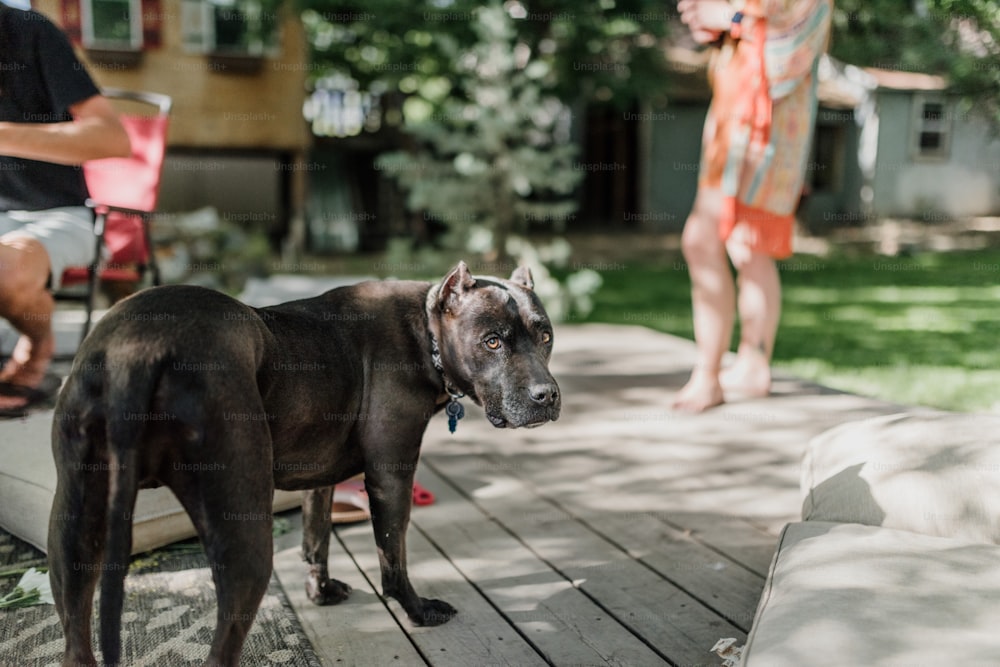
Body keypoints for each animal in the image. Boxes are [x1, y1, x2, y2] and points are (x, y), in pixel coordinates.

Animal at [48, 264, 564, 664]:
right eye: (492, 342)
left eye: (545, 335)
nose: (548, 396)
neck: (426, 331)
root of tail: (141, 347)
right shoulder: (391, 475)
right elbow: (392, 557)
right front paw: (417, 610)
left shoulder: (321, 477)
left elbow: (316, 537)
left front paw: (321, 591)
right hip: (245, 537)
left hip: (71, 535)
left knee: (76, 637)